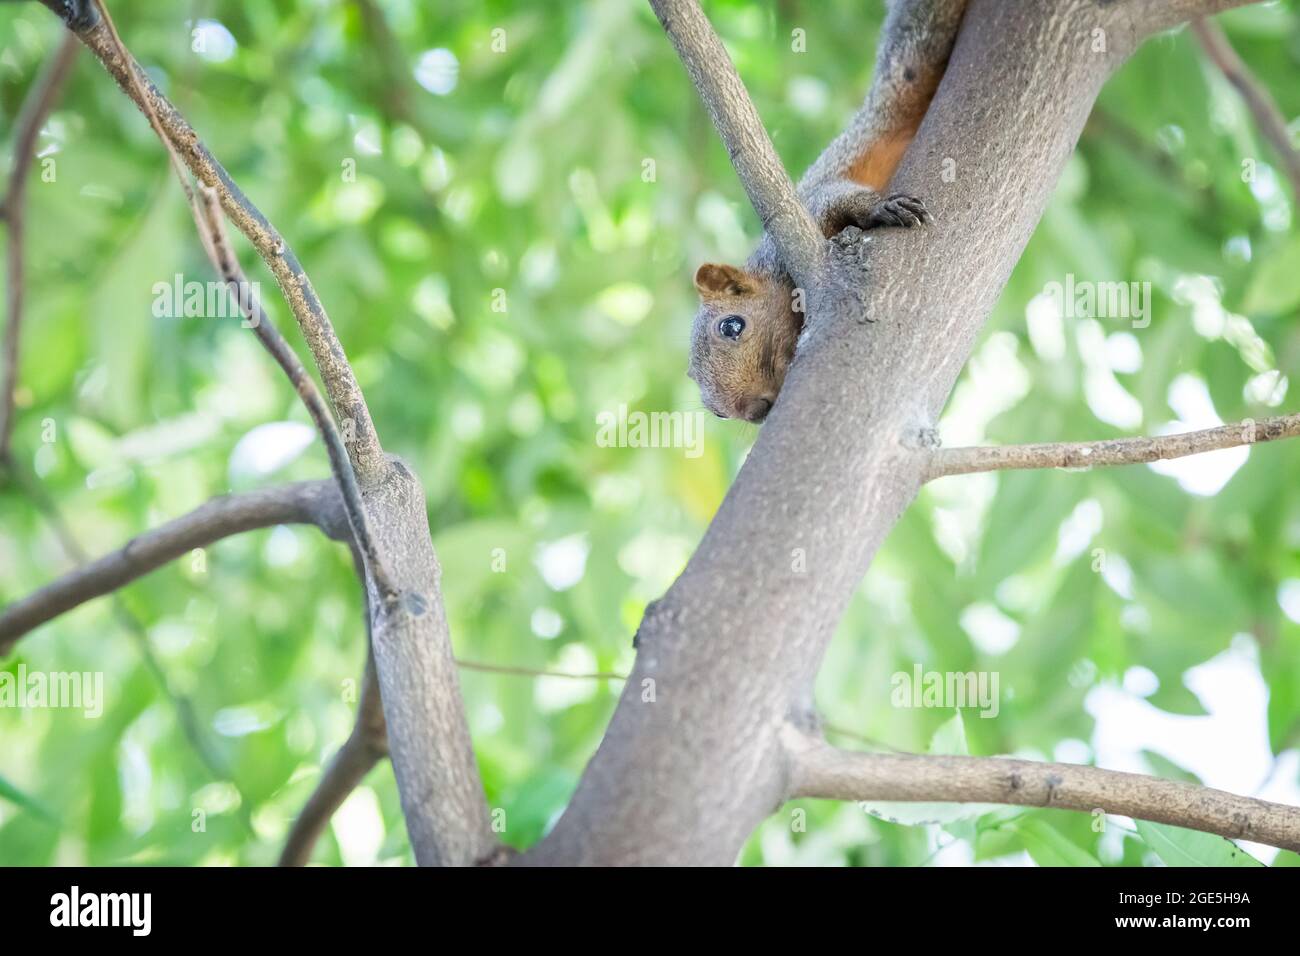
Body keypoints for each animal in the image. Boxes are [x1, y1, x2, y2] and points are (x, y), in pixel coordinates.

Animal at [687, 0, 968, 423]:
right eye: (716, 414)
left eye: (732, 326)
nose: (754, 411)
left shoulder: (810, 210)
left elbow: (839, 198)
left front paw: (880, 207)